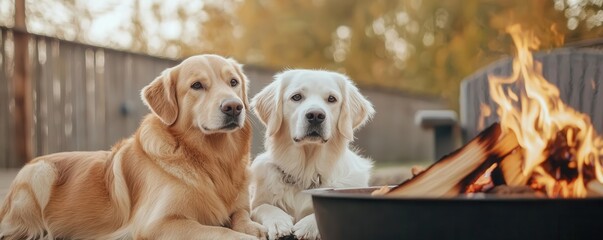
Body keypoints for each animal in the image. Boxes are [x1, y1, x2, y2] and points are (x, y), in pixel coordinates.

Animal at [0, 54, 266, 240]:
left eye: (233, 82)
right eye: (197, 85)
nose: (234, 107)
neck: (211, 156)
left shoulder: (239, 205)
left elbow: (241, 215)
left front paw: (254, 227)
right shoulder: (158, 223)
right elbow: (222, 232)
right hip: (40, 172)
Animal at [249, 69, 372, 240]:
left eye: (332, 99)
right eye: (296, 97)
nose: (315, 115)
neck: (306, 172)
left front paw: (308, 226)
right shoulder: (254, 203)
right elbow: (264, 207)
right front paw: (278, 222)